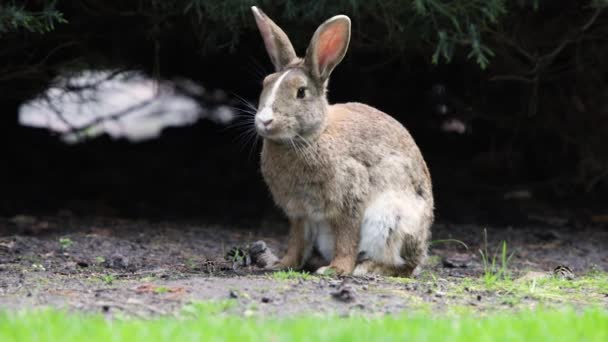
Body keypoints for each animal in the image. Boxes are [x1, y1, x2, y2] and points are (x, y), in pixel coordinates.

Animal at [249, 6, 434, 276]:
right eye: (265, 83)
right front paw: (282, 265)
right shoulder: (299, 213)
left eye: (301, 92)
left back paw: (366, 268)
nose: (264, 120)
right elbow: (297, 241)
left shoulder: (349, 200)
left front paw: (335, 269)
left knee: (402, 266)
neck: (310, 138)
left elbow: (347, 238)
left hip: (392, 220)